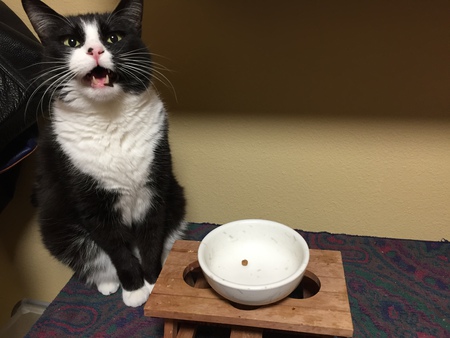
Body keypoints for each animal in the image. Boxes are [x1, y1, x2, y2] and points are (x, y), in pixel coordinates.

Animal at [20, 0, 186, 306]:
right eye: (71, 42)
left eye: (113, 38)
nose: (95, 50)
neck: (109, 119)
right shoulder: (90, 203)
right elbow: (117, 249)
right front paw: (134, 289)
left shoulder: (156, 187)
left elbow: (152, 238)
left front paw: (153, 282)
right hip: (57, 227)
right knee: (94, 258)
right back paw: (108, 282)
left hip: (177, 199)